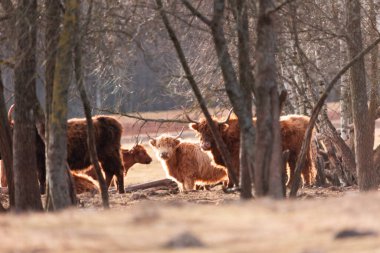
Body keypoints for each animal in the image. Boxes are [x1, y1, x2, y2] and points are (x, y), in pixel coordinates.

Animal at [190, 113, 318, 187]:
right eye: (200, 130)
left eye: (214, 130)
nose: (205, 145)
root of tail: (304, 118)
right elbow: (229, 172)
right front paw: (230, 186)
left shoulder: (236, 158)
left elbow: (234, 172)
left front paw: (235, 186)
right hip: (292, 153)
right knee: (294, 166)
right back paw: (291, 185)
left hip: (298, 151)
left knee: (303, 166)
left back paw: (305, 184)